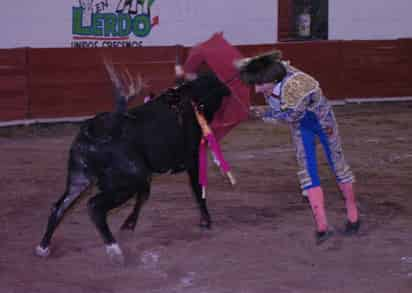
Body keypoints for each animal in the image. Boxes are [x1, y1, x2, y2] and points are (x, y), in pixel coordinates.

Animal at [35, 72, 232, 262]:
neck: (192, 97)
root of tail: (97, 130)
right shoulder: (192, 160)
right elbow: (198, 190)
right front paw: (206, 222)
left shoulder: (147, 176)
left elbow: (143, 196)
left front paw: (129, 224)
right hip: (126, 182)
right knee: (94, 206)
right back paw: (115, 250)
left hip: (80, 178)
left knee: (59, 206)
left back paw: (43, 248)